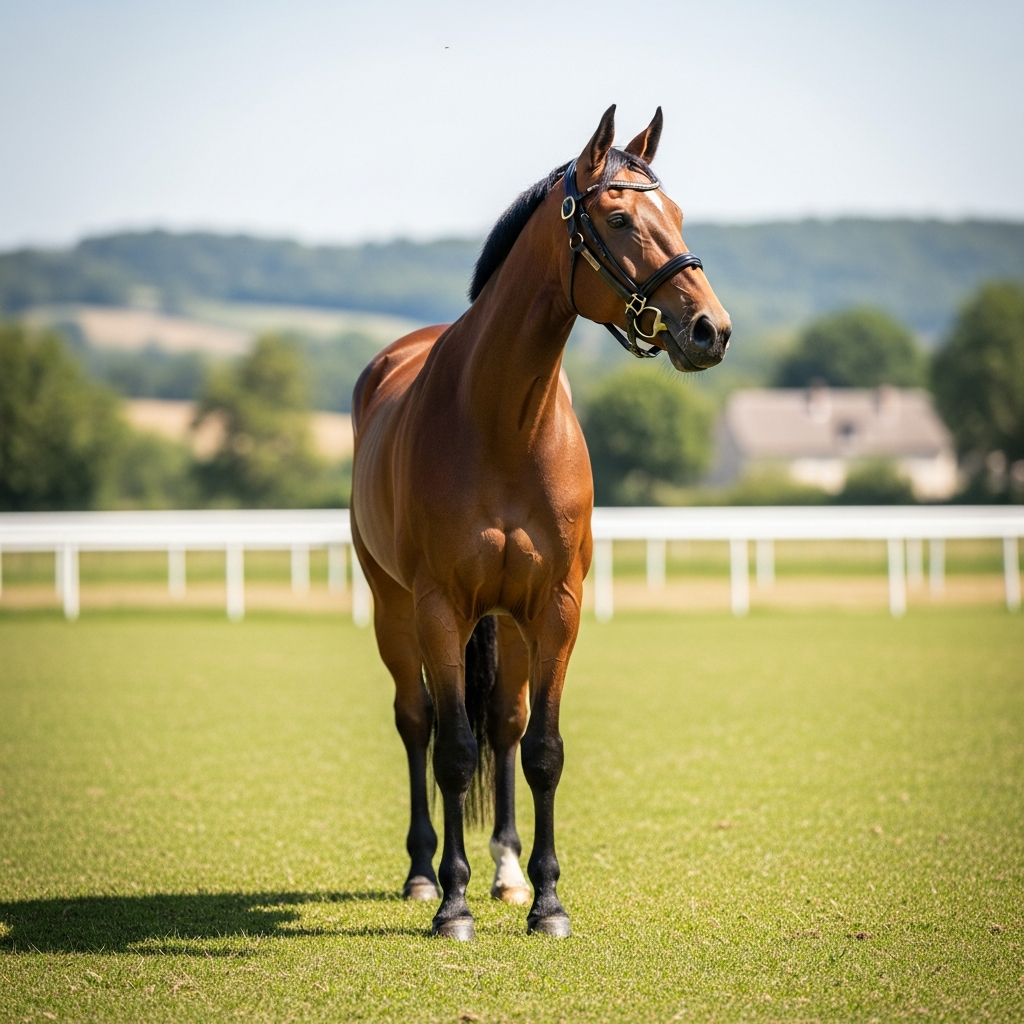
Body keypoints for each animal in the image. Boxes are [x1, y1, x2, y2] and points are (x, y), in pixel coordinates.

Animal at [350, 105, 731, 940]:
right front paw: (452, 905)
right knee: (419, 724)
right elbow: (452, 752)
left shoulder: (556, 606)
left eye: (678, 213)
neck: (502, 420)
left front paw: (547, 901)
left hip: (510, 625)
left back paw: (506, 873)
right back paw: (425, 874)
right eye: (618, 217)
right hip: (395, 611)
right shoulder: (438, 606)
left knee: (504, 724)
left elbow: (541, 749)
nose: (710, 330)